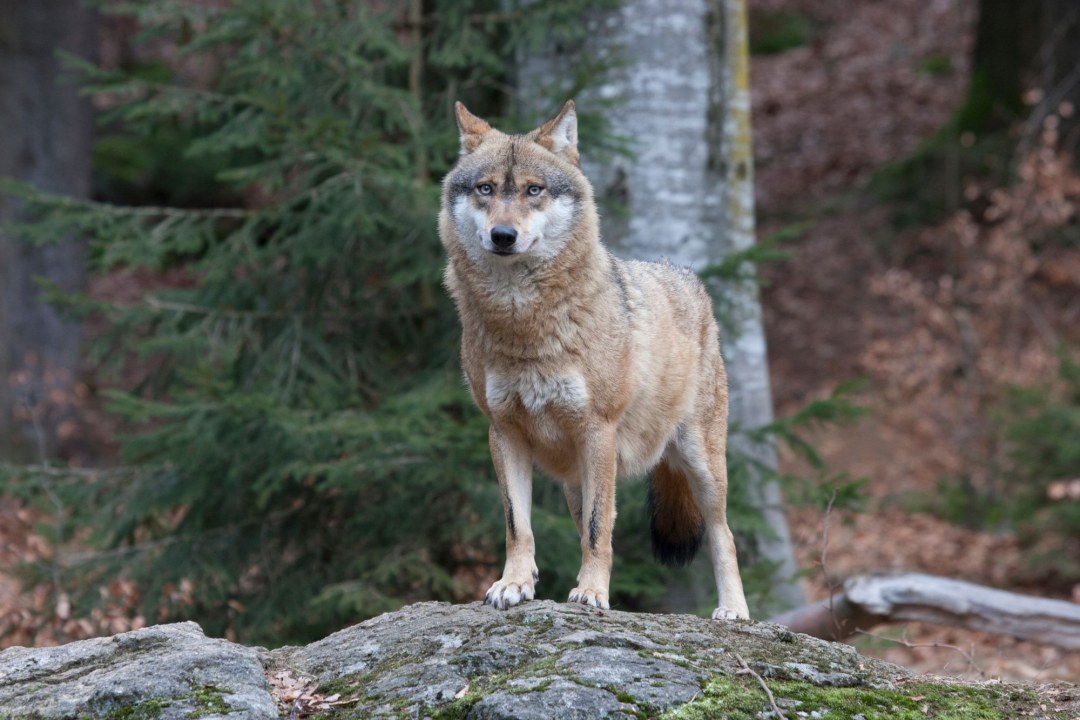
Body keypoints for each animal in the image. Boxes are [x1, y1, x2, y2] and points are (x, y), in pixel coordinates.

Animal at [439, 100, 750, 620]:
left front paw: (591, 594)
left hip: (700, 464)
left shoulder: (597, 430)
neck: (523, 323)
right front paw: (515, 583)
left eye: (534, 190)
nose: (503, 235)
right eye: (486, 189)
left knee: (723, 533)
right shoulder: (502, 431)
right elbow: (517, 523)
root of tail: (687, 275)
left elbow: (597, 529)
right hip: (572, 479)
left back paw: (733, 612)